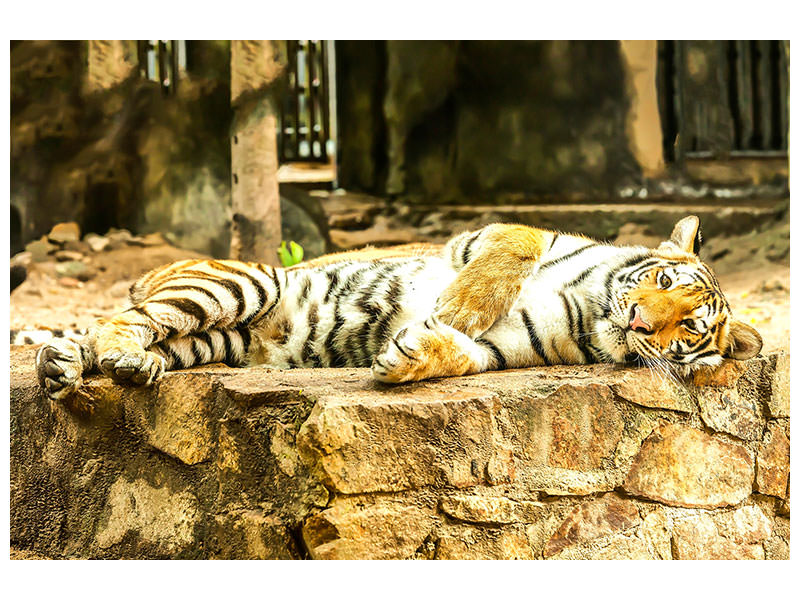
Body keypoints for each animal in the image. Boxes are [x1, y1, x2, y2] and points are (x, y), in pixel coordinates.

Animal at [36, 213, 764, 400]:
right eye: (662, 280)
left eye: (686, 329)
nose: (641, 321)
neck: (592, 310)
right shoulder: (492, 233)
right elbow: (513, 250)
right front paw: (460, 304)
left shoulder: (510, 346)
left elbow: (462, 353)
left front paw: (407, 356)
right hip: (245, 281)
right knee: (120, 320)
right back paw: (115, 361)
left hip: (219, 339)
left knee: (117, 336)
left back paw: (72, 368)